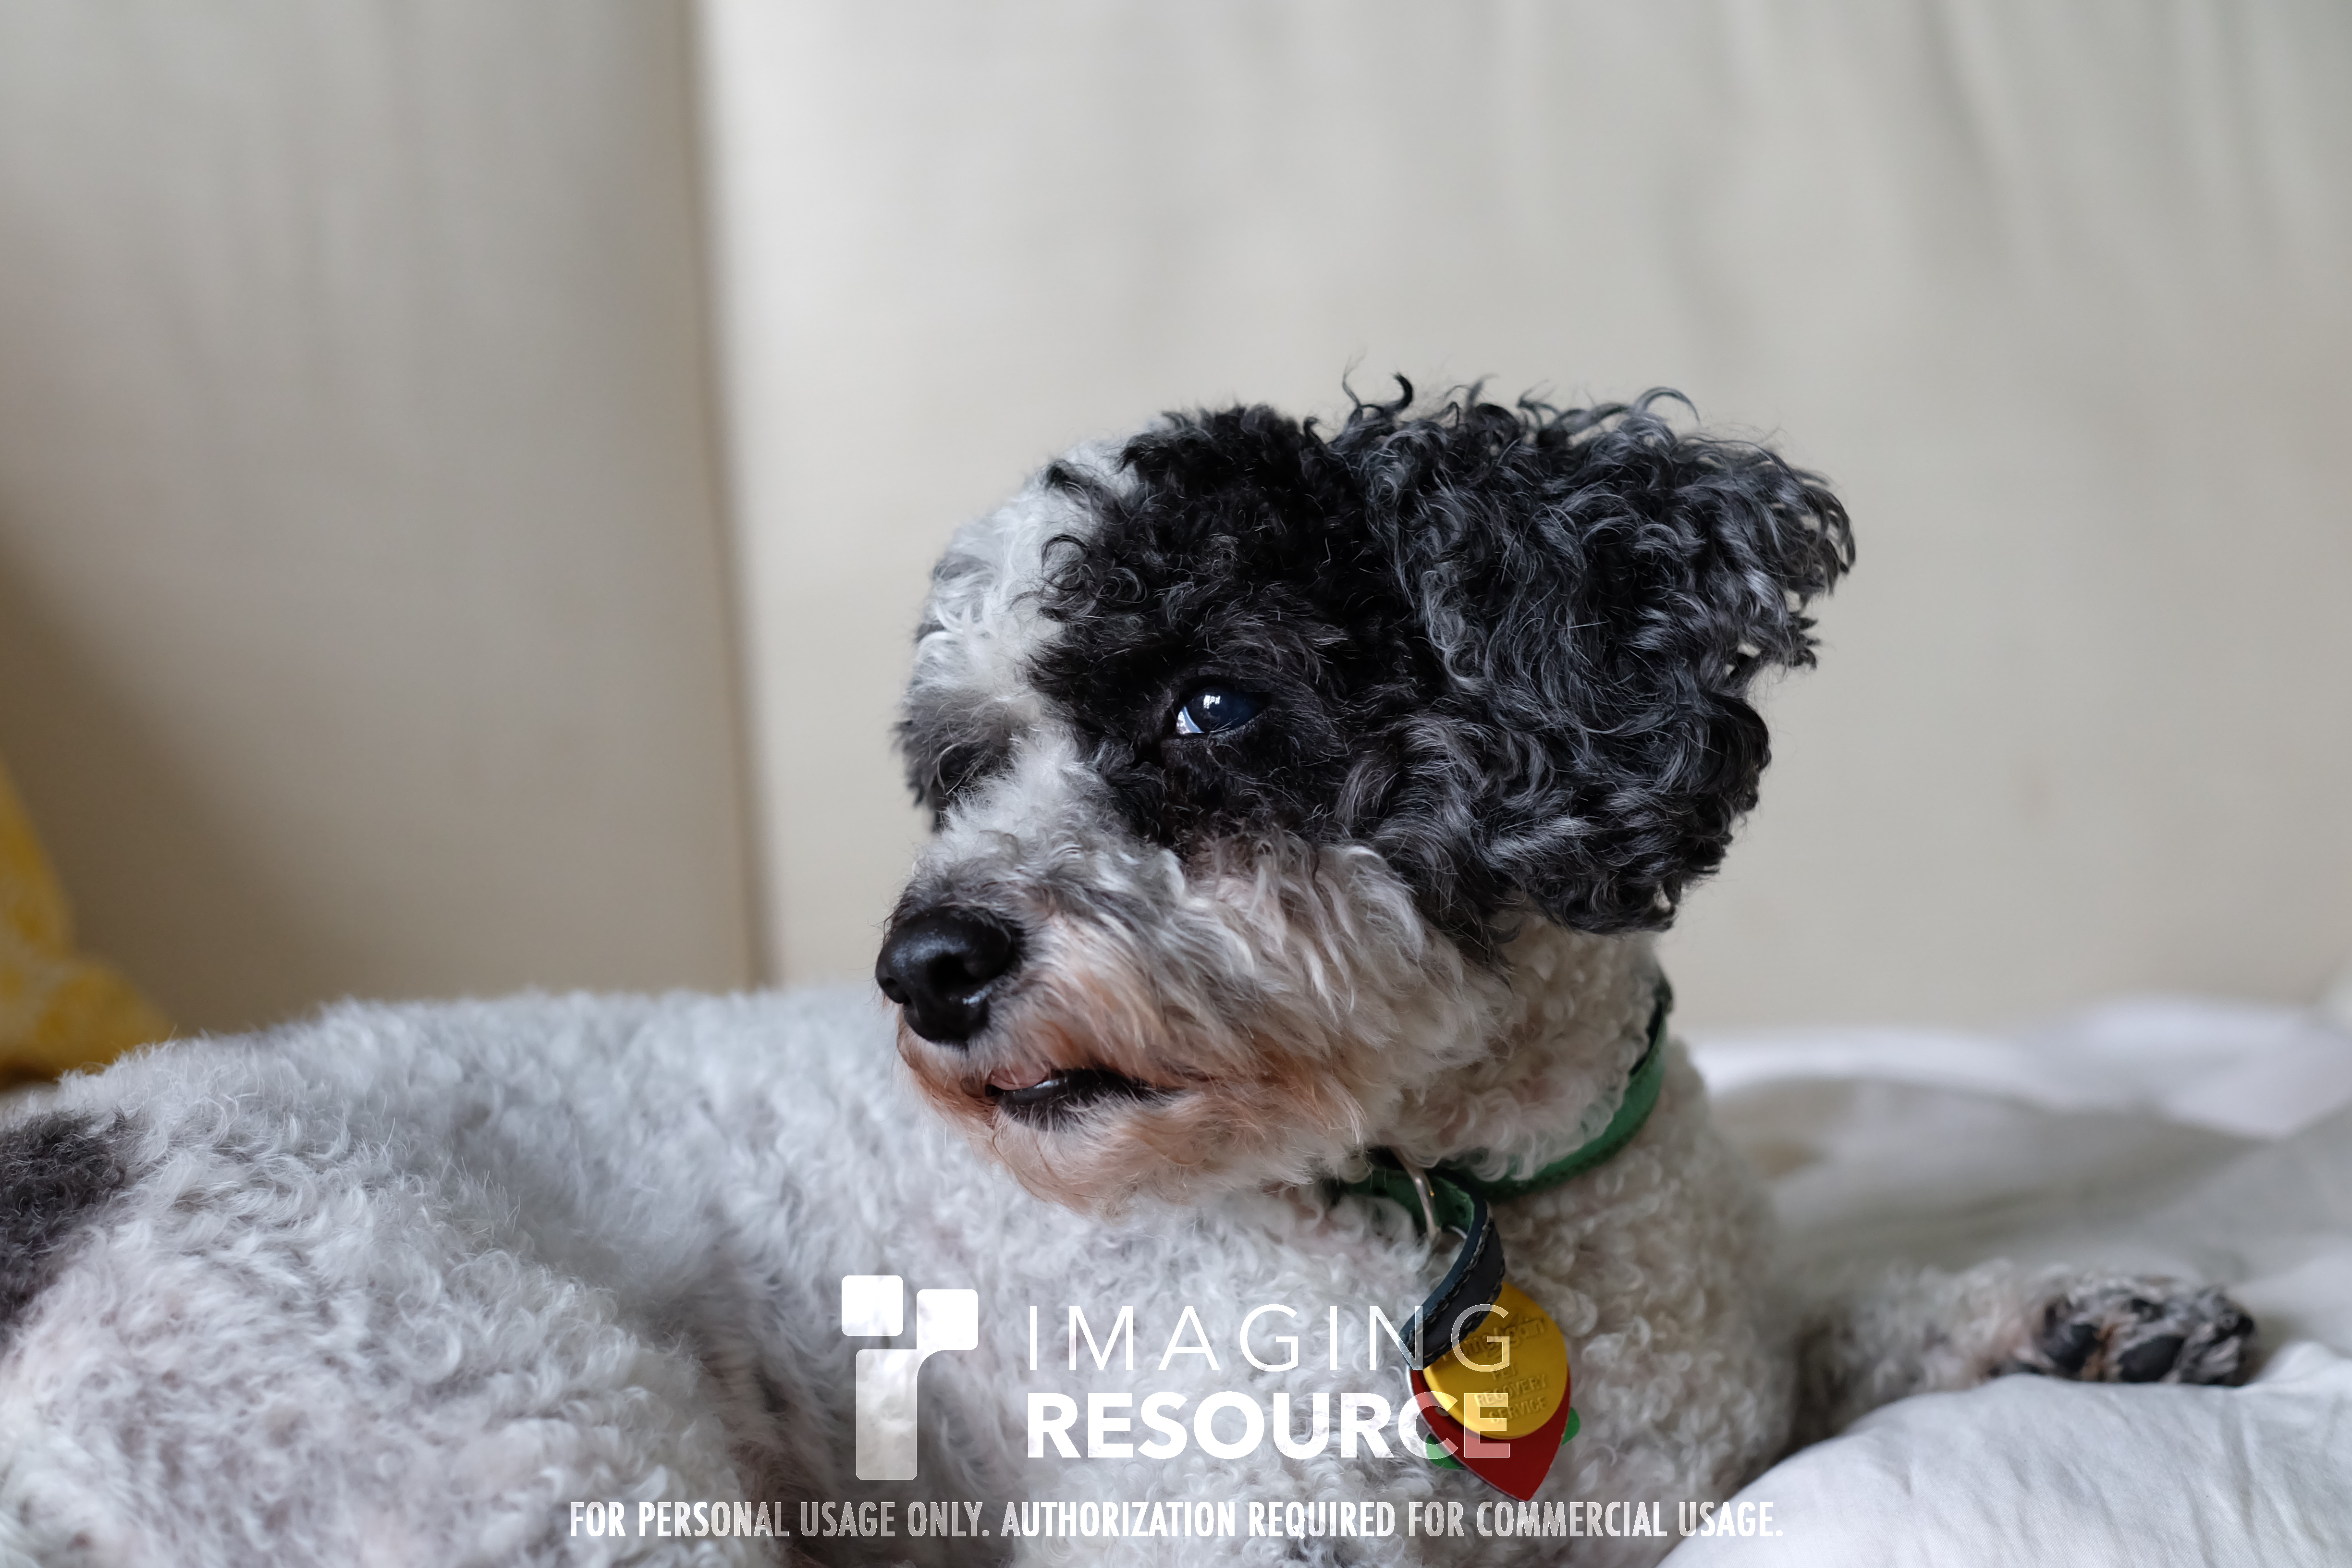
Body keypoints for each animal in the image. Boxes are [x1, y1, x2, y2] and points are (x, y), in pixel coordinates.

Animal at [0, 387, 2252, 1566]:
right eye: (959, 769)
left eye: (1209, 703)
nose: (922, 963)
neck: (1473, 1200)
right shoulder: (1210, 1513)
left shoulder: (1723, 1390)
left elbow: (1850, 1324)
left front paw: (2083, 1306)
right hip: (519, 1432)